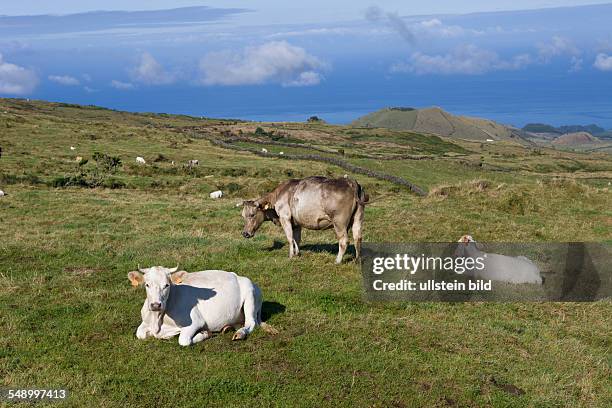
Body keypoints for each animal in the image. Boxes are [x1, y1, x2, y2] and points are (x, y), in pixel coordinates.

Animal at [129, 266, 278, 346]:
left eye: (167, 285)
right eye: (147, 284)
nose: (155, 305)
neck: (158, 319)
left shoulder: (195, 321)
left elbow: (183, 340)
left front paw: (205, 333)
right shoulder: (145, 321)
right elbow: (140, 333)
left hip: (250, 296)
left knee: (250, 323)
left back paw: (240, 333)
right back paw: (228, 328)